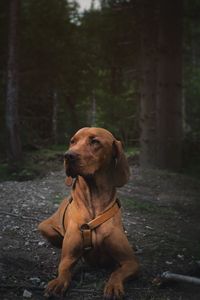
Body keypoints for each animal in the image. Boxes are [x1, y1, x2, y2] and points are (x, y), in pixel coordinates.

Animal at [38, 127, 139, 298]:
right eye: (72, 141)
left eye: (95, 141)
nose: (67, 155)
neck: (94, 201)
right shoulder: (69, 257)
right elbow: (64, 270)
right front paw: (58, 283)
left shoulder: (130, 262)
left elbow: (117, 273)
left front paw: (113, 286)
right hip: (43, 226)